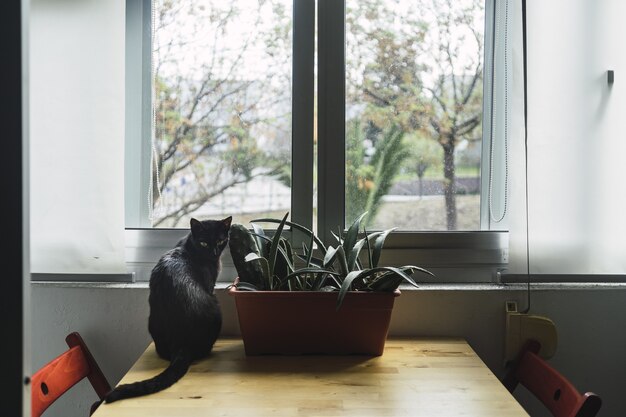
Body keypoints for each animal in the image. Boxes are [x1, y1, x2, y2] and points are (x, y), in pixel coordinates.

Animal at [105, 216, 232, 402]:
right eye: (204, 243)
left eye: (220, 241)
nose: (214, 252)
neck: (189, 246)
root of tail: (181, 343)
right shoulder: (210, 286)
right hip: (216, 309)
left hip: (152, 321)